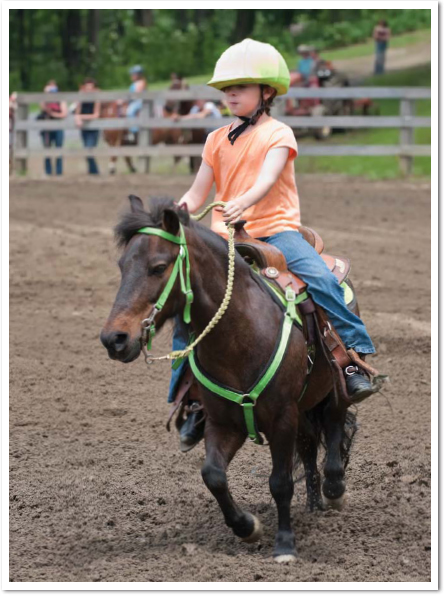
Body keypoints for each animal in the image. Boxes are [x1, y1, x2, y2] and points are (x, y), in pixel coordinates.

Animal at [100, 197, 358, 564]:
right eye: (123, 266)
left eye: (158, 267)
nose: (114, 339)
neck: (240, 334)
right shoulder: (224, 422)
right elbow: (213, 475)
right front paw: (247, 527)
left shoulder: (282, 418)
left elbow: (280, 482)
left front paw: (284, 544)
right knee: (309, 445)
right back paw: (313, 504)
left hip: (333, 386)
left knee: (335, 425)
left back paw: (334, 490)